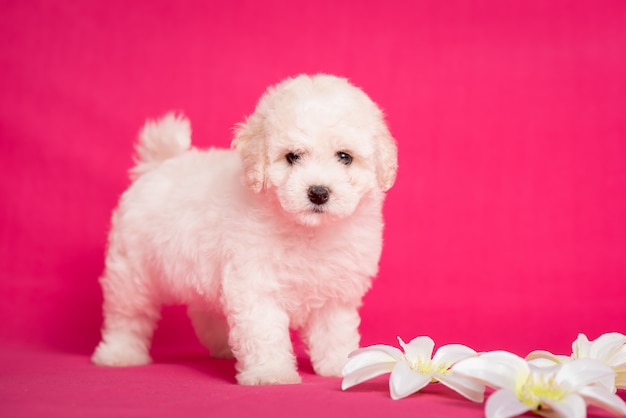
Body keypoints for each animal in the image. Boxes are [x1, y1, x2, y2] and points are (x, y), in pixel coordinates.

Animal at [91, 73, 394, 384]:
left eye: (344, 157)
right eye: (292, 156)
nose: (319, 192)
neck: (307, 230)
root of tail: (157, 165)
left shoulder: (336, 291)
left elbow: (334, 332)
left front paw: (341, 365)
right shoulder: (256, 285)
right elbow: (265, 333)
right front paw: (271, 373)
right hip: (132, 269)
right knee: (127, 316)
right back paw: (119, 354)